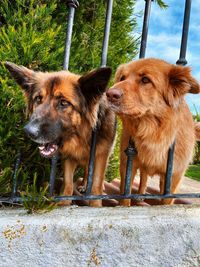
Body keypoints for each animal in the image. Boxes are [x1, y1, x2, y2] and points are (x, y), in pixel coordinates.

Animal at [5, 62, 115, 207]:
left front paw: (95, 204)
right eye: (38, 99)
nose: (29, 131)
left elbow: (96, 183)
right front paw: (64, 202)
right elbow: (68, 183)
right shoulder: (69, 157)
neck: (82, 137)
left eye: (63, 103)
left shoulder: (101, 154)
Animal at [107, 58, 199, 205]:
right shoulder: (127, 165)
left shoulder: (174, 176)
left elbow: (166, 200)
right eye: (122, 78)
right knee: (144, 178)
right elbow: (125, 196)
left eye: (145, 80)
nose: (109, 94)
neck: (152, 131)